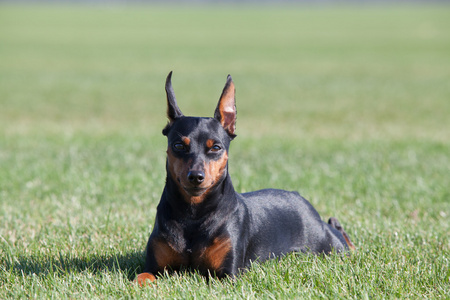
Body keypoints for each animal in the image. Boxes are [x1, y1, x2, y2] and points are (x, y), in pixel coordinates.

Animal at [134, 72, 356, 286]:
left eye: (216, 147)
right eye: (179, 145)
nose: (196, 176)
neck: (193, 213)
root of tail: (301, 199)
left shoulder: (227, 275)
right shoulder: (154, 269)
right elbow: (140, 278)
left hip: (327, 245)